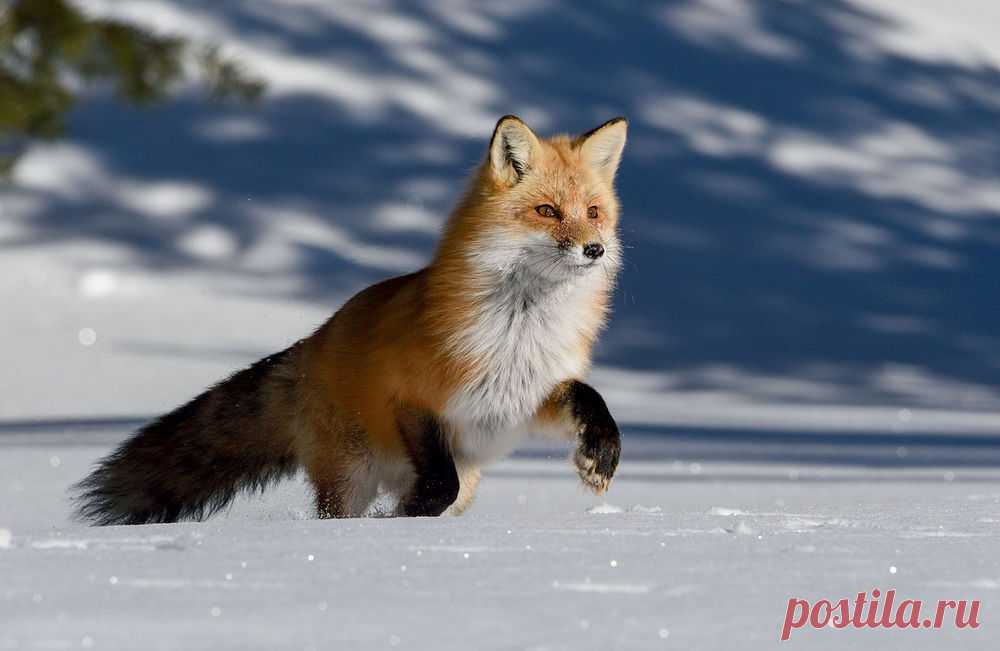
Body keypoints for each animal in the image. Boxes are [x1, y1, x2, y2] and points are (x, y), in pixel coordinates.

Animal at [76, 116, 624, 524]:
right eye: (547, 211)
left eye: (594, 212)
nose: (594, 249)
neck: (518, 331)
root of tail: (311, 343)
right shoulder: (412, 399)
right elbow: (438, 484)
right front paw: (403, 517)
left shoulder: (524, 399)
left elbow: (588, 396)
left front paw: (601, 454)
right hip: (350, 476)